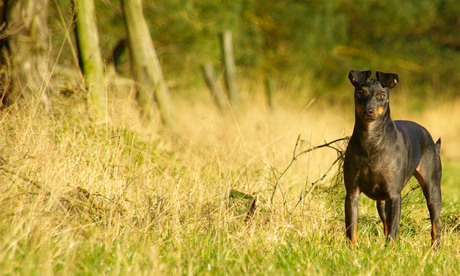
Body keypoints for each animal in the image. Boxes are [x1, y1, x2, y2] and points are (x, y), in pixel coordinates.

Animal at [344, 70, 442, 247]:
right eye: (360, 92)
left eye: (382, 95)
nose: (368, 111)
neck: (371, 140)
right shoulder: (352, 194)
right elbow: (351, 229)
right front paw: (351, 250)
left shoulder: (394, 195)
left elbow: (393, 230)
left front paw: (390, 250)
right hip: (382, 202)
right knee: (386, 225)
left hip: (432, 190)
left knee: (436, 225)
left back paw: (434, 249)